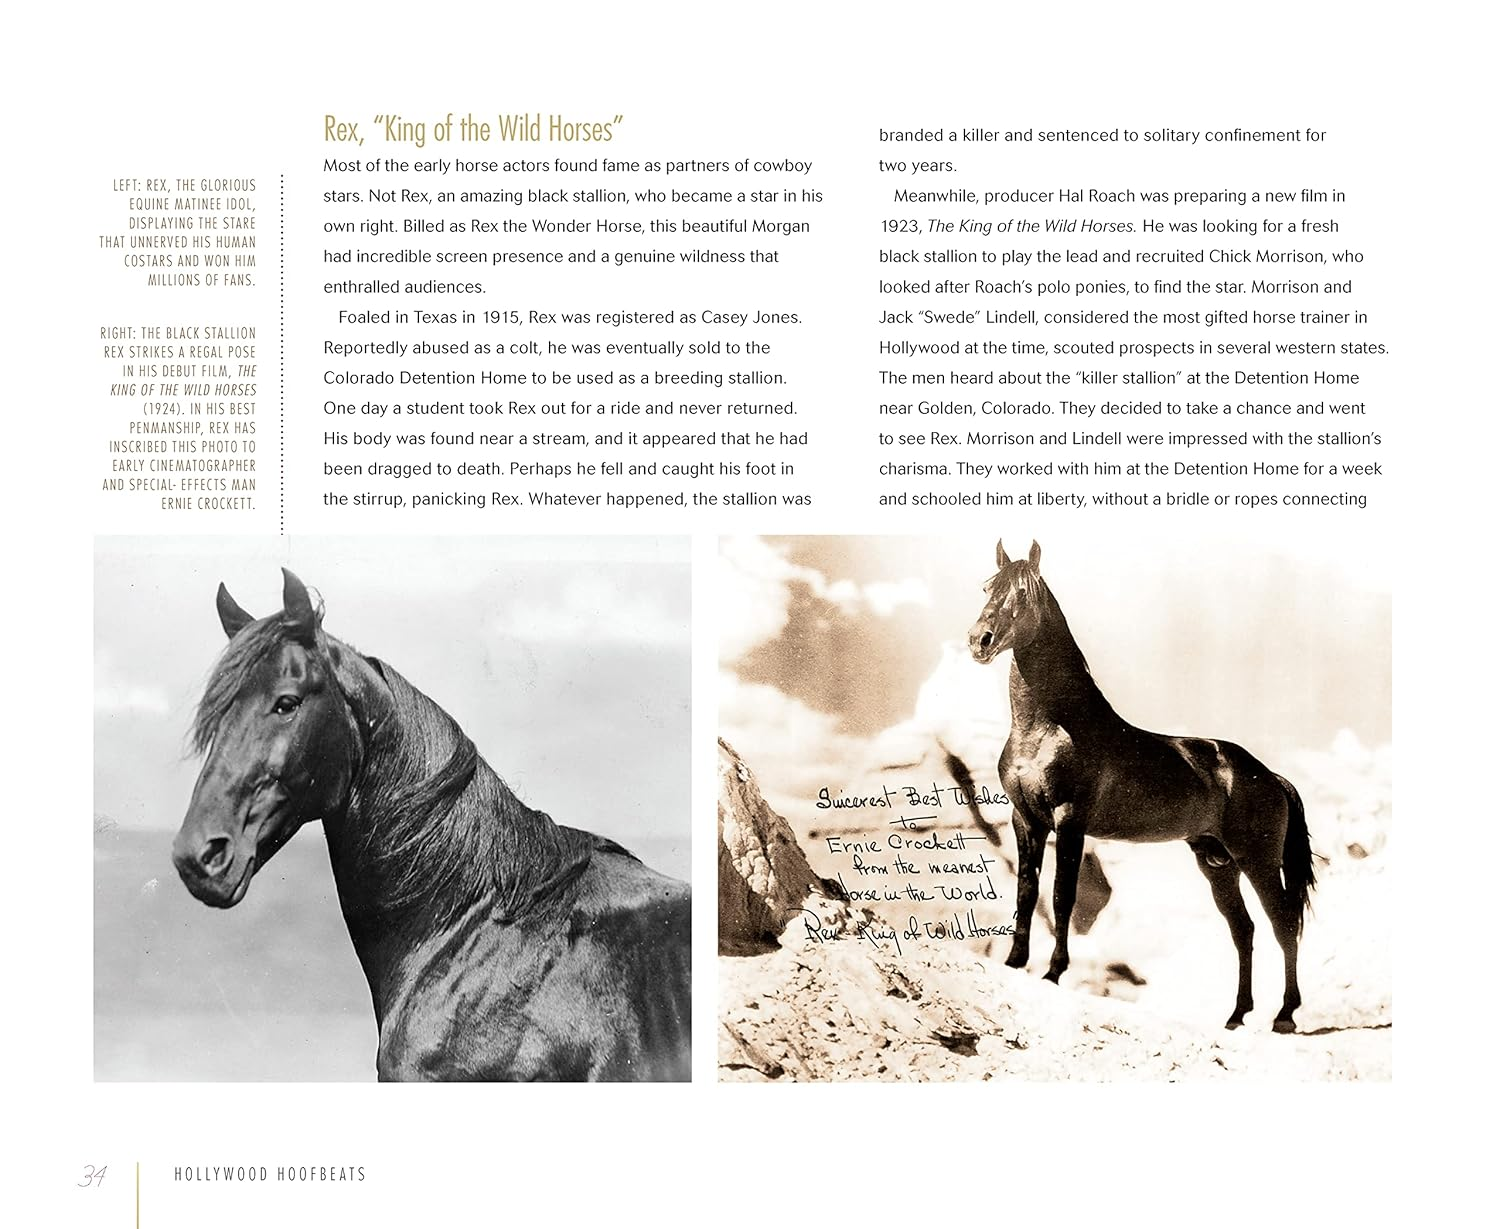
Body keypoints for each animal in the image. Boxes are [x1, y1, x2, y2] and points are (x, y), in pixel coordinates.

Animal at [967, 541, 1315, 1033]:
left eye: (1021, 591)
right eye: (986, 587)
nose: (980, 640)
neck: (1048, 728)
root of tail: (1269, 776)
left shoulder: (1069, 820)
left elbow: (1062, 897)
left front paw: (1054, 972)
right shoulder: (1027, 820)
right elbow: (1027, 892)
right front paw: (1016, 963)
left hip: (1258, 860)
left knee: (1282, 923)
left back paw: (1284, 1015)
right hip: (1217, 862)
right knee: (1242, 929)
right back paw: (1235, 1016)